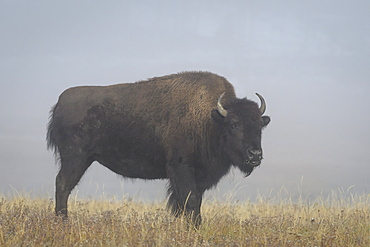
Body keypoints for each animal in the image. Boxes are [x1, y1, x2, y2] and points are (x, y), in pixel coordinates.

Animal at [47, 71, 270, 226]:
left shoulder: (199, 176)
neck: (210, 120)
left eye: (260, 125)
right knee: (63, 184)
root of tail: (60, 102)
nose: (255, 154)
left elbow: (193, 202)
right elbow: (189, 201)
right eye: (233, 124)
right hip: (75, 158)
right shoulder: (181, 169)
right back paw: (62, 221)